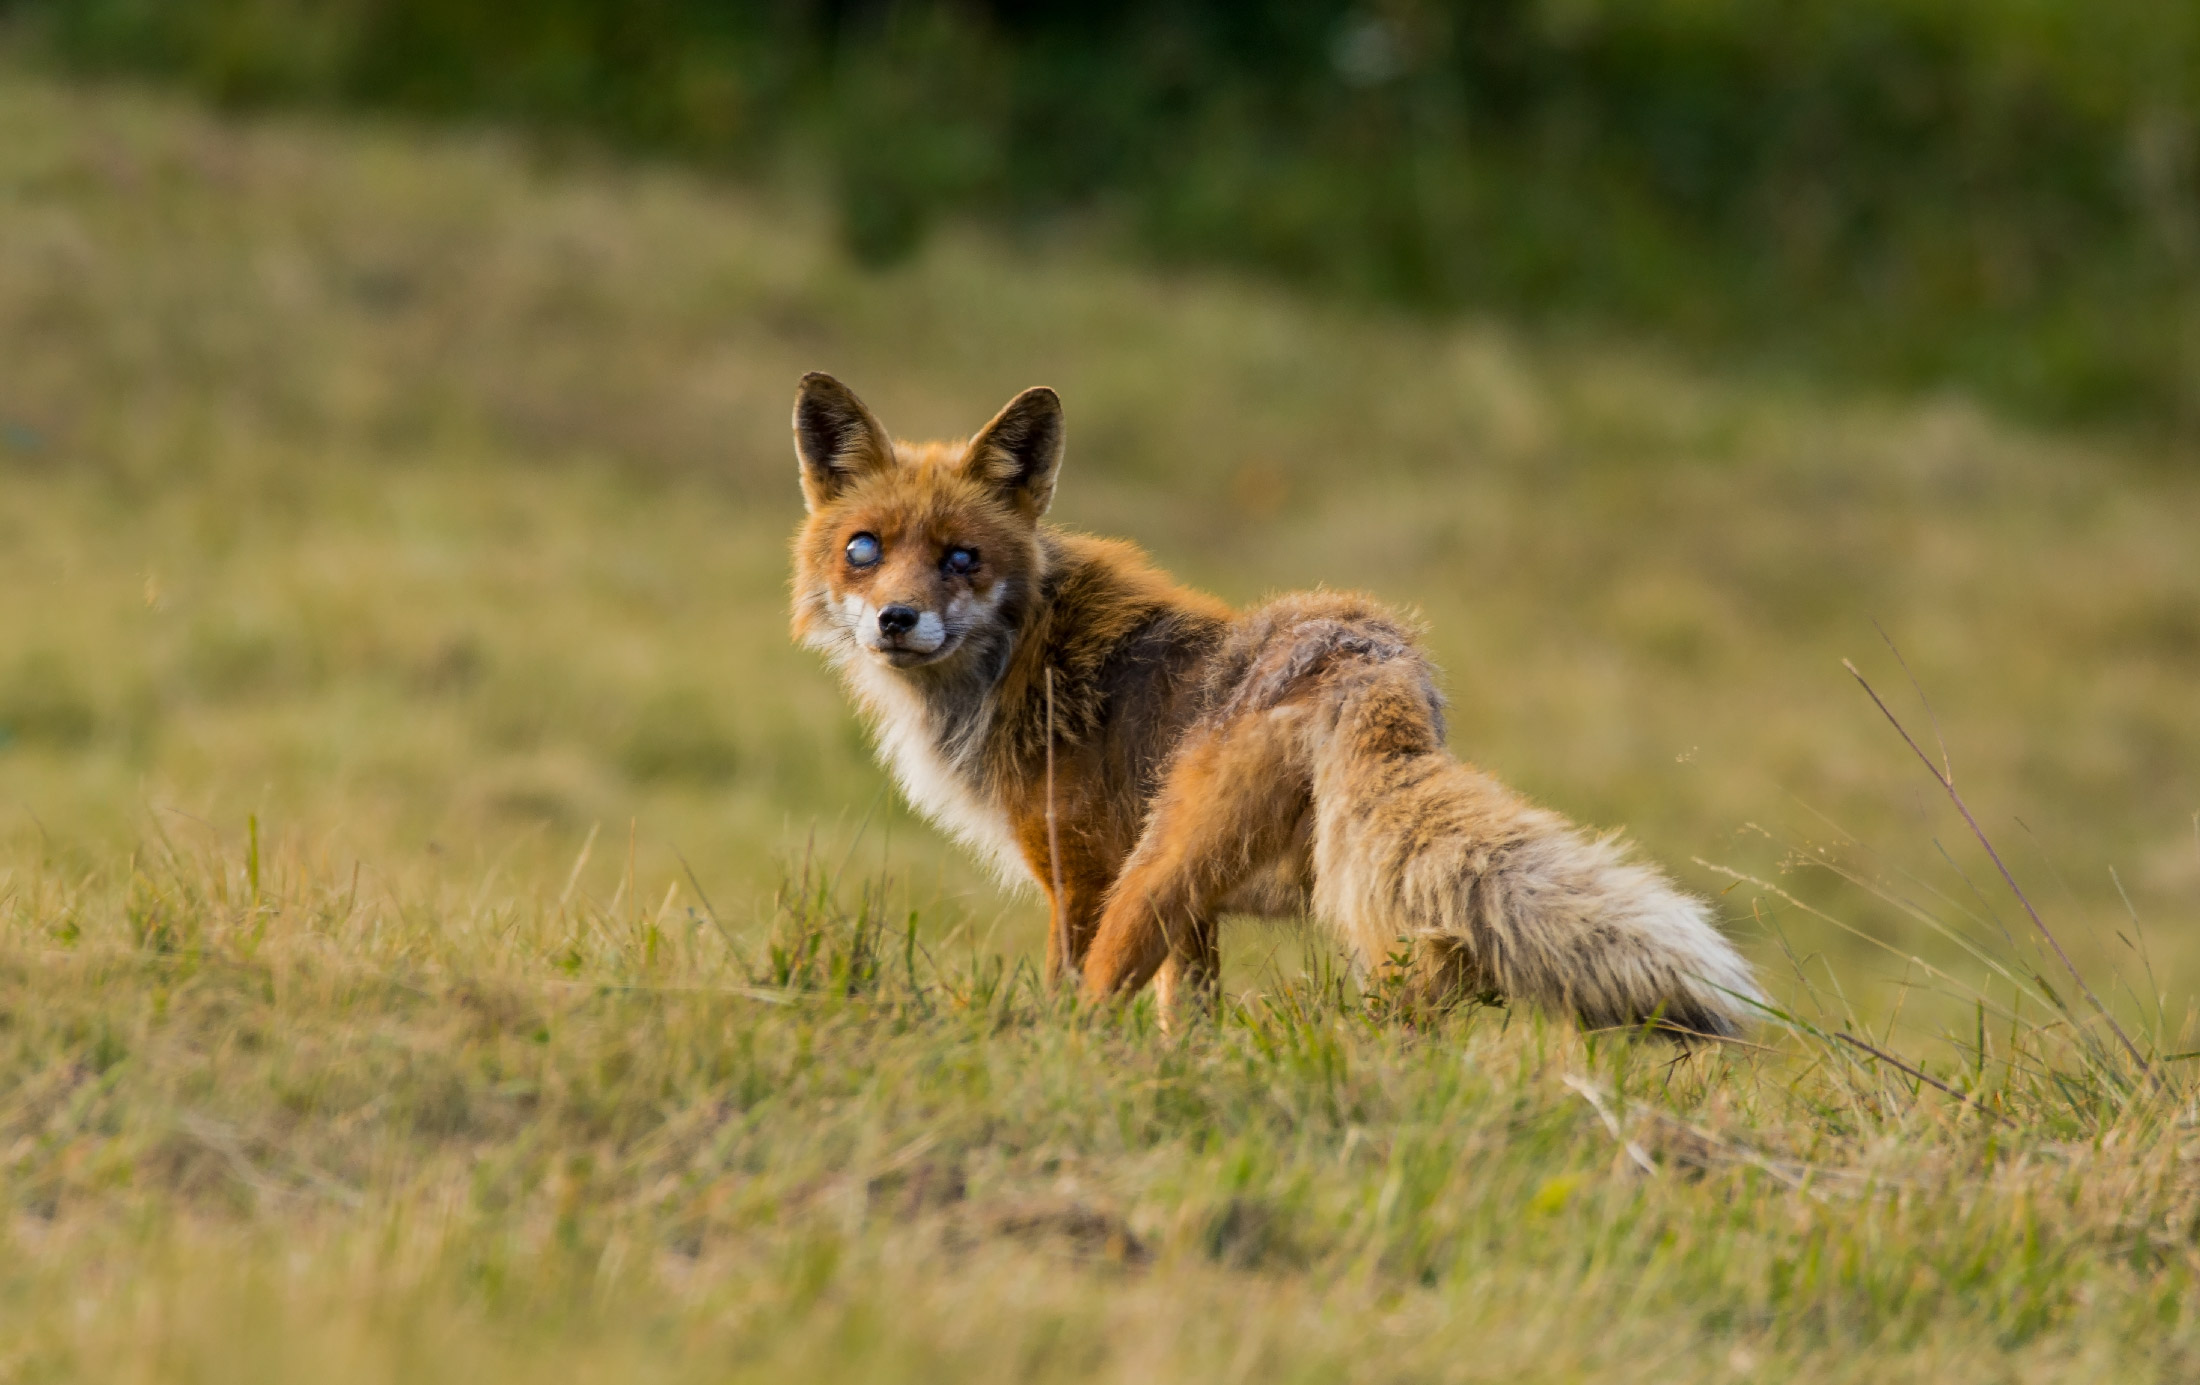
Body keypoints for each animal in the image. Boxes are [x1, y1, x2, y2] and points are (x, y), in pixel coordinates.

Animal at [789, 372, 1761, 1037]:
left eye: (961, 559)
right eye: (864, 549)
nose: (896, 619)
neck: (1025, 658)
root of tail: (1374, 654)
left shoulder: (1081, 877)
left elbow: (1082, 994)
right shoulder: (1199, 921)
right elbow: (1191, 1017)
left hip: (1155, 876)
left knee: (1109, 993)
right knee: (1447, 962)